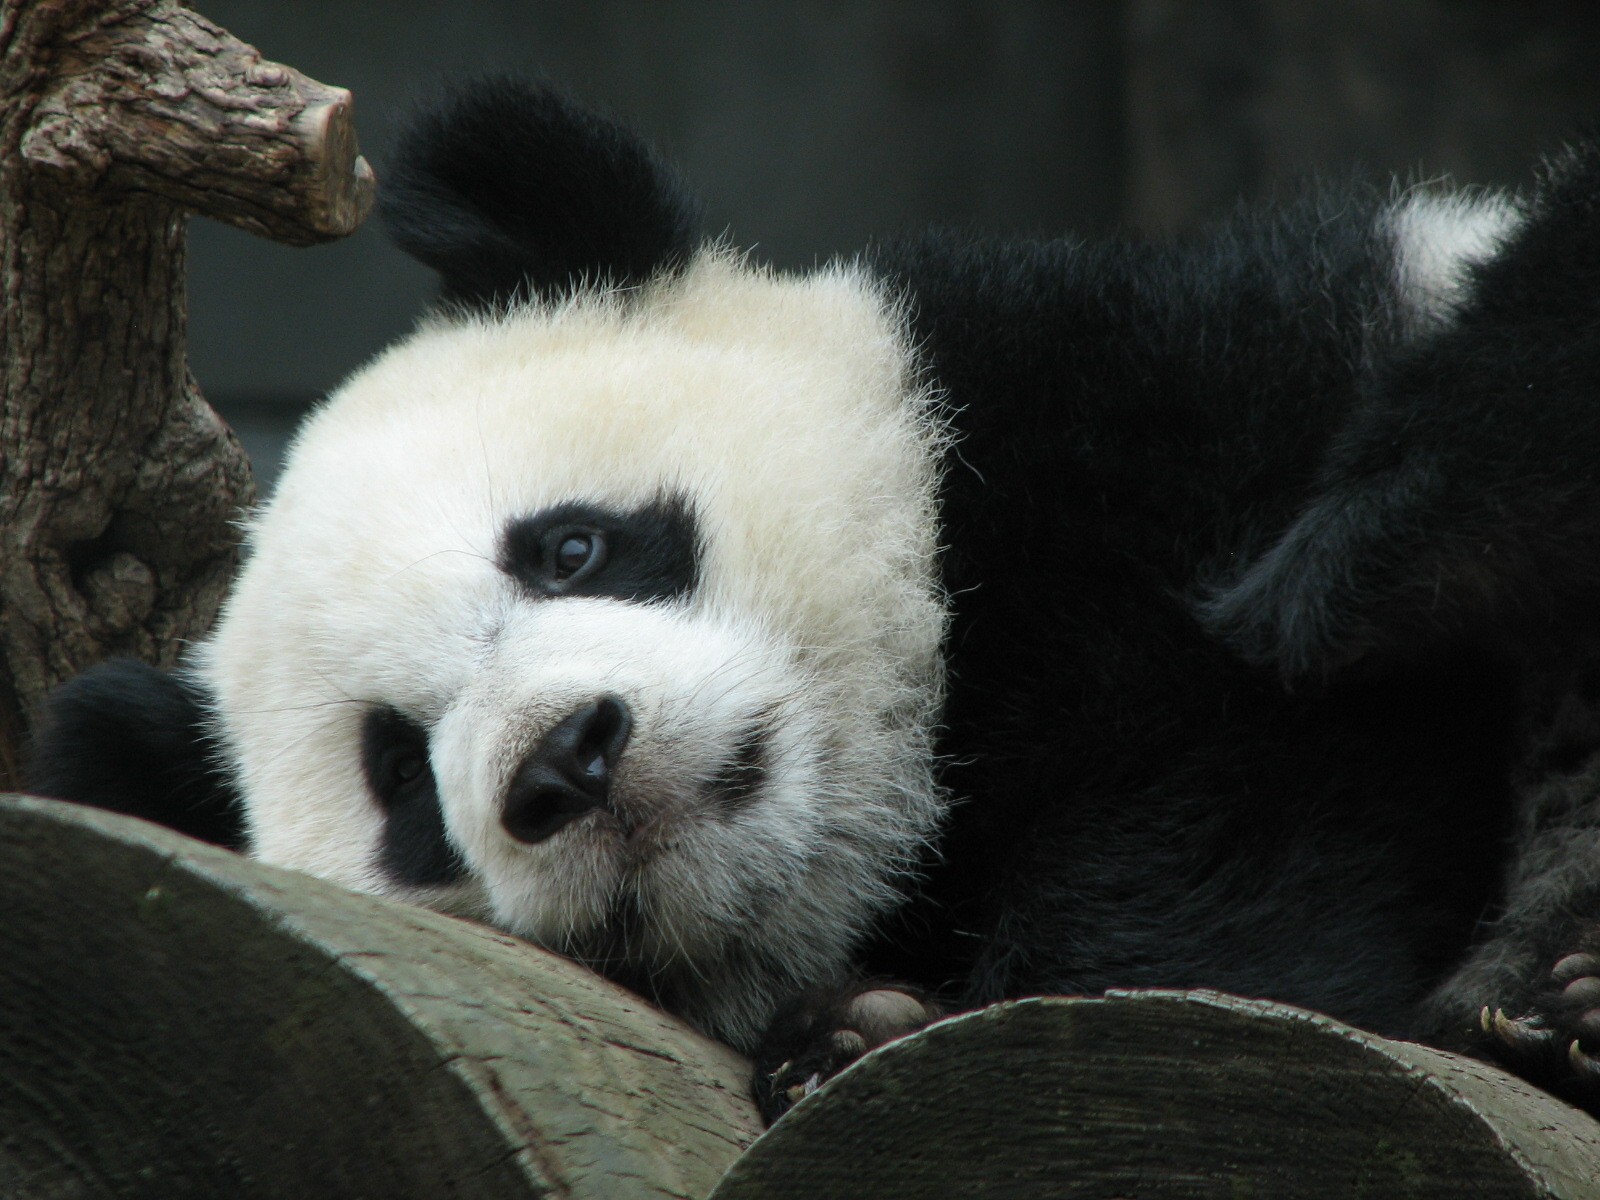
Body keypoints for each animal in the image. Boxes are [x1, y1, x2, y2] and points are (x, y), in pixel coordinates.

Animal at [27, 76, 1600, 1122]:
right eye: (402, 777)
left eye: (572, 549)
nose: (565, 759)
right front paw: (852, 1028)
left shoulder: (1159, 424)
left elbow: (1238, 792)